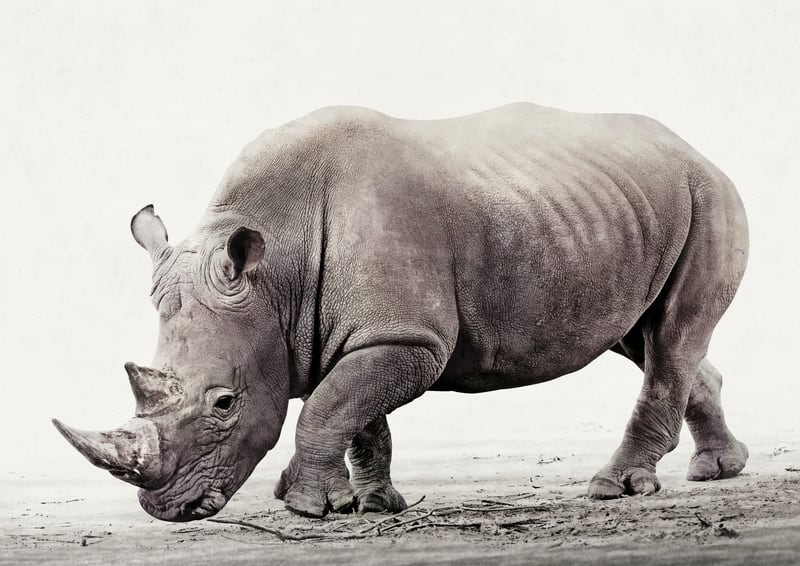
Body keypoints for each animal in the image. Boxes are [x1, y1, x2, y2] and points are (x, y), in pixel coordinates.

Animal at [53, 103, 749, 521]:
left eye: (224, 403)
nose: (166, 509)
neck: (276, 270)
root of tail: (695, 148)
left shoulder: (408, 337)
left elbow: (331, 405)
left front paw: (304, 508)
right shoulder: (359, 332)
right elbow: (357, 413)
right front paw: (371, 504)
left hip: (709, 196)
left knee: (671, 338)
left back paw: (616, 488)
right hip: (619, 210)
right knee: (646, 338)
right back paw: (718, 471)